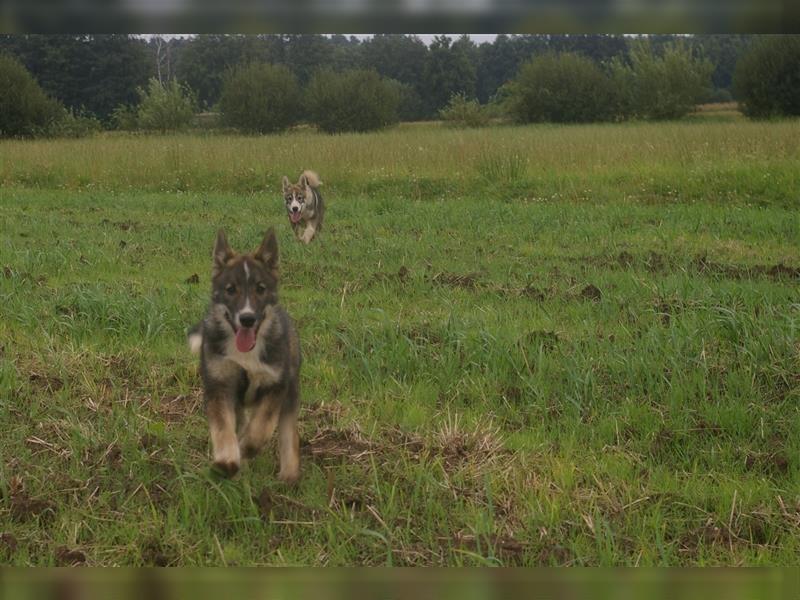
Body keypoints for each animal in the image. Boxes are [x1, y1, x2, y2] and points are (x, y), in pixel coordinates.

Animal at [189, 226, 302, 482]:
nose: (247, 318)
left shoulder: (276, 384)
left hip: (290, 390)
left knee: (288, 430)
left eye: (260, 289)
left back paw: (289, 476)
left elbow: (262, 426)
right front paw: (228, 460)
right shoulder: (219, 385)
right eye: (230, 290)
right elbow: (223, 427)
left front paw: (247, 447)